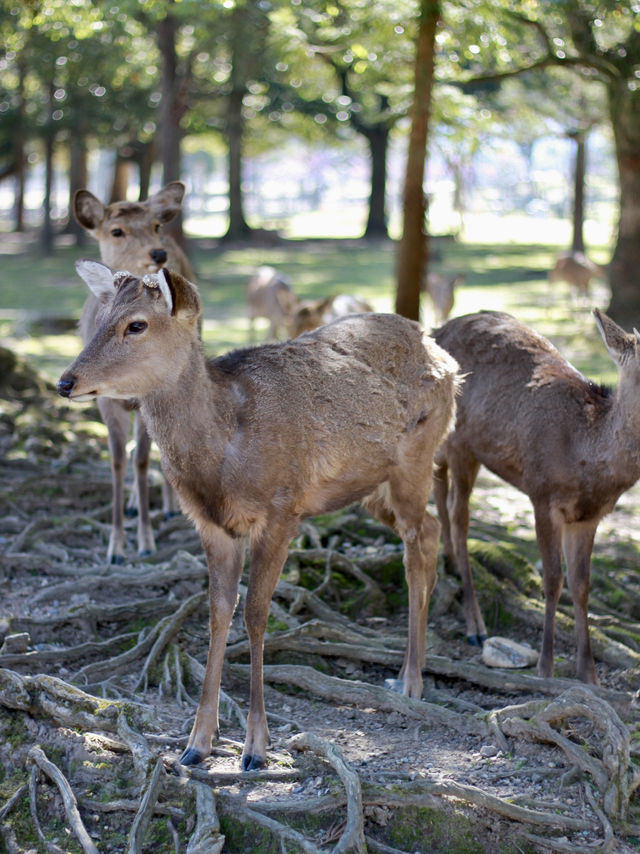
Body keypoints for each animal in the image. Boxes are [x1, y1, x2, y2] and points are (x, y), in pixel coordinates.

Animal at [57, 260, 460, 768]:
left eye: (137, 325)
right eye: (99, 317)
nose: (65, 381)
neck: (223, 457)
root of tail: (446, 357)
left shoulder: (282, 510)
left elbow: (255, 612)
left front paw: (256, 747)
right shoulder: (211, 524)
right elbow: (217, 612)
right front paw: (196, 743)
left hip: (417, 457)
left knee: (420, 541)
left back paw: (410, 679)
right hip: (372, 487)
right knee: (429, 530)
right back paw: (413, 669)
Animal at [72, 181, 192, 564]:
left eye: (155, 225)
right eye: (116, 231)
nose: (159, 253)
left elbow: (140, 460)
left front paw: (145, 541)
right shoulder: (102, 400)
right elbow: (116, 460)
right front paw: (114, 547)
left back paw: (167, 506)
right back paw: (133, 506)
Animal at [430, 310, 640, 684]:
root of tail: (437, 329)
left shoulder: (590, 516)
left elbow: (582, 583)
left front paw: (589, 674)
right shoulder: (542, 494)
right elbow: (554, 579)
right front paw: (545, 667)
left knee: (440, 486)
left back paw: (450, 561)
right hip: (462, 443)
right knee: (458, 515)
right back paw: (475, 625)